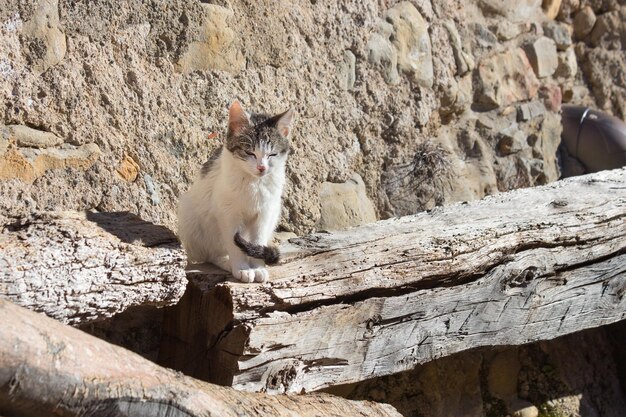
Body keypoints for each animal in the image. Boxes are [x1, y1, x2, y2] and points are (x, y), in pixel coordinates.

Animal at [176, 101, 292, 282]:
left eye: (272, 154)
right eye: (249, 152)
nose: (261, 167)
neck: (254, 183)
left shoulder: (266, 212)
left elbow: (258, 239)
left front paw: (258, 267)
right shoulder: (228, 213)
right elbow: (233, 243)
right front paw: (242, 268)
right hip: (190, 215)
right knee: (211, 254)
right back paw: (227, 262)